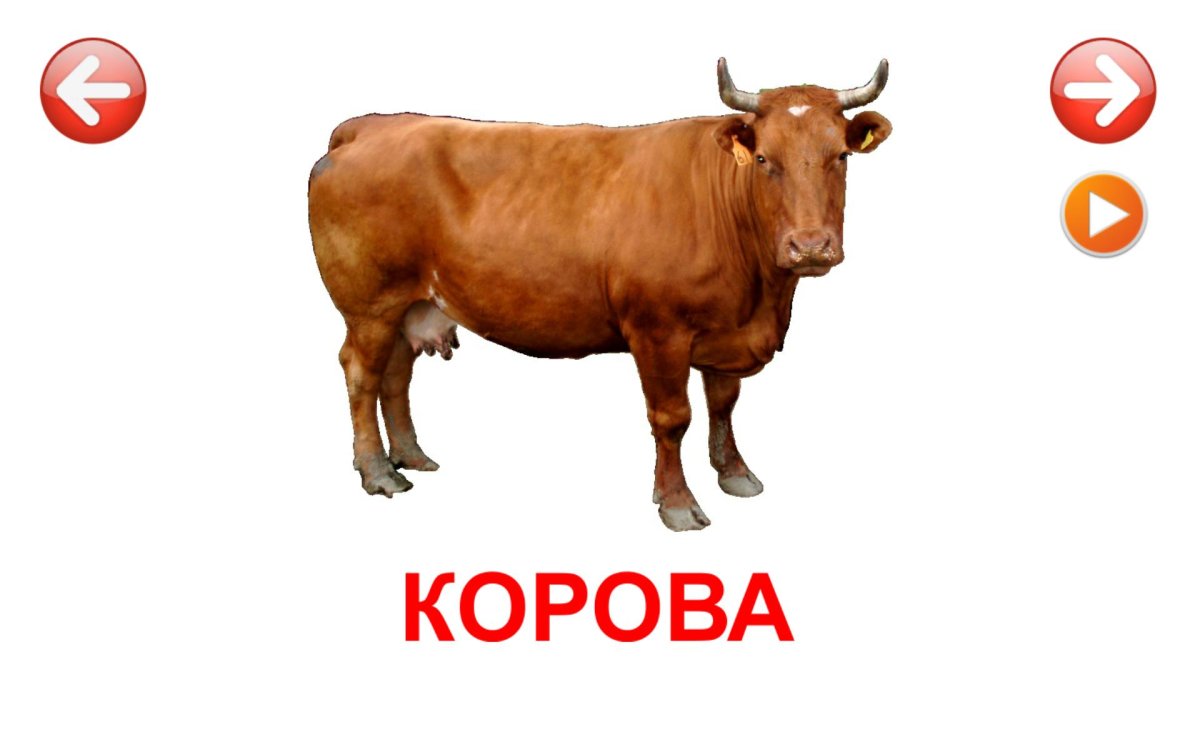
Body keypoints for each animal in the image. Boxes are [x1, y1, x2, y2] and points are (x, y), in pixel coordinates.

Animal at [308, 58, 891, 531]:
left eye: (841, 156)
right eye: (766, 159)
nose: (810, 246)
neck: (761, 297)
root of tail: (371, 125)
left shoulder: (727, 331)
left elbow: (723, 405)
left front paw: (735, 473)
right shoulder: (658, 330)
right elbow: (672, 418)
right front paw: (677, 503)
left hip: (411, 303)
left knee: (396, 375)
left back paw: (411, 456)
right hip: (369, 304)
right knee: (362, 373)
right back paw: (378, 471)